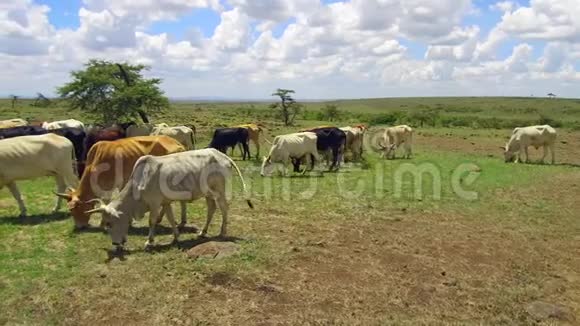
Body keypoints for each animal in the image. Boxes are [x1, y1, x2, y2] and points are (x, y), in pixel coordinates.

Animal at [55, 136, 185, 228]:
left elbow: (107, 202)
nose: (79, 226)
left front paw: (104, 222)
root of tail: (177, 143)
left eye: (74, 209)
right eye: (70, 210)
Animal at [85, 149, 253, 251]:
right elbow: (171, 219)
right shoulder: (165, 203)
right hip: (208, 194)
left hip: (219, 191)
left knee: (224, 208)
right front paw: (176, 237)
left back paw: (222, 232)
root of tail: (222, 155)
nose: (115, 243)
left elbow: (152, 221)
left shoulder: (154, 204)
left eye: (109, 223)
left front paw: (149, 242)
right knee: (211, 209)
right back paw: (203, 232)